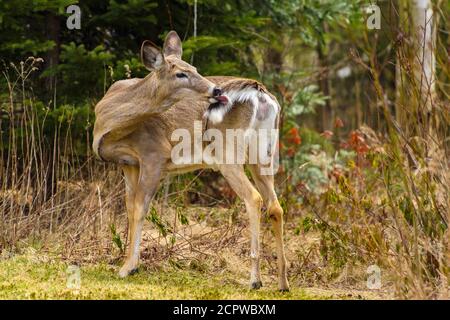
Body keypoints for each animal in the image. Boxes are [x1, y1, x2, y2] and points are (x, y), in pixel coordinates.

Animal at [93, 31, 290, 292]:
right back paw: (283, 283)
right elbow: (130, 207)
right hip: (262, 154)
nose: (216, 90)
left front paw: (128, 267)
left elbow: (140, 207)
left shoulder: (154, 153)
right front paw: (129, 263)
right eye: (181, 73)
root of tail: (260, 92)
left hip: (228, 153)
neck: (108, 121)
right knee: (276, 206)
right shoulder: (129, 163)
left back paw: (255, 280)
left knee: (254, 199)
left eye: (194, 68)